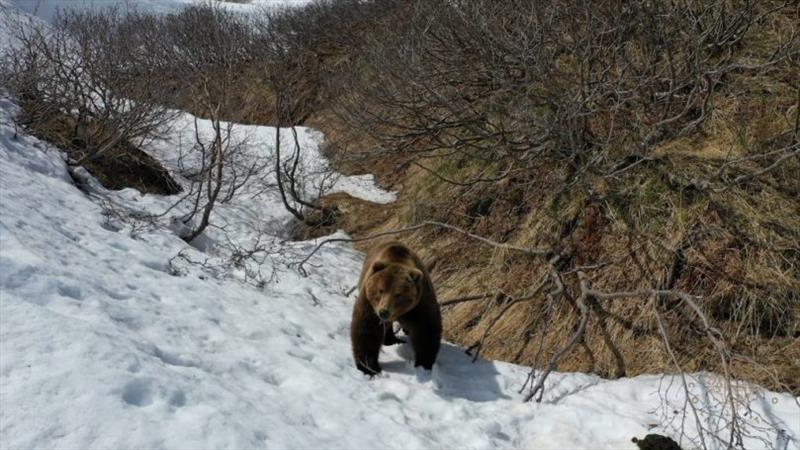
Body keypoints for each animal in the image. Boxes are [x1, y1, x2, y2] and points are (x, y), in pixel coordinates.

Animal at [350, 241, 440, 374]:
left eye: (398, 294)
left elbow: (426, 329)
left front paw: (424, 363)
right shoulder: (369, 304)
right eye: (380, 290)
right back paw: (391, 340)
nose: (384, 312)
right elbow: (367, 329)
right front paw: (369, 367)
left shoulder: (419, 304)